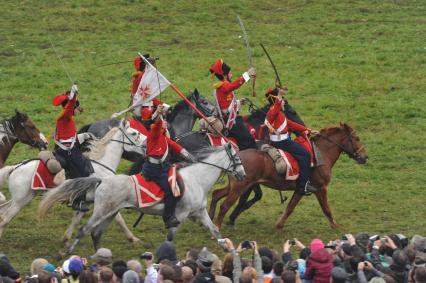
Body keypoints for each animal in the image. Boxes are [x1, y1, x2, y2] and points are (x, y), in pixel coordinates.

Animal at [0, 121, 146, 243]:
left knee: (3, 211)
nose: (146, 144)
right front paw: (133, 238)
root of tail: (15, 167)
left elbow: (76, 220)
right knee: (5, 218)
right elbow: (119, 219)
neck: (101, 165)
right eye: (134, 133)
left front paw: (66, 238)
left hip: (23, 198)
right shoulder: (108, 200)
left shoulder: (85, 201)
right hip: (21, 200)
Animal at [40, 143, 246, 254]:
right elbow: (170, 238)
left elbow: (215, 230)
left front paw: (229, 249)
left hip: (110, 213)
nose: (243, 175)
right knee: (84, 230)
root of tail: (101, 180)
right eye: (236, 158)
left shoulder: (200, 213)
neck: (197, 179)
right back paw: (67, 252)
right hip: (102, 212)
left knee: (96, 234)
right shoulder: (179, 216)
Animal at [208, 123, 368, 231]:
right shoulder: (321, 188)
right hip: (240, 187)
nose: (365, 157)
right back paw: (217, 228)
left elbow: (290, 207)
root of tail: (234, 156)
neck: (321, 153)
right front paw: (336, 226)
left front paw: (279, 225)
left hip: (236, 186)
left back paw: (210, 218)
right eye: (356, 138)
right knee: (224, 206)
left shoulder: (300, 189)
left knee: (216, 194)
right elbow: (326, 209)